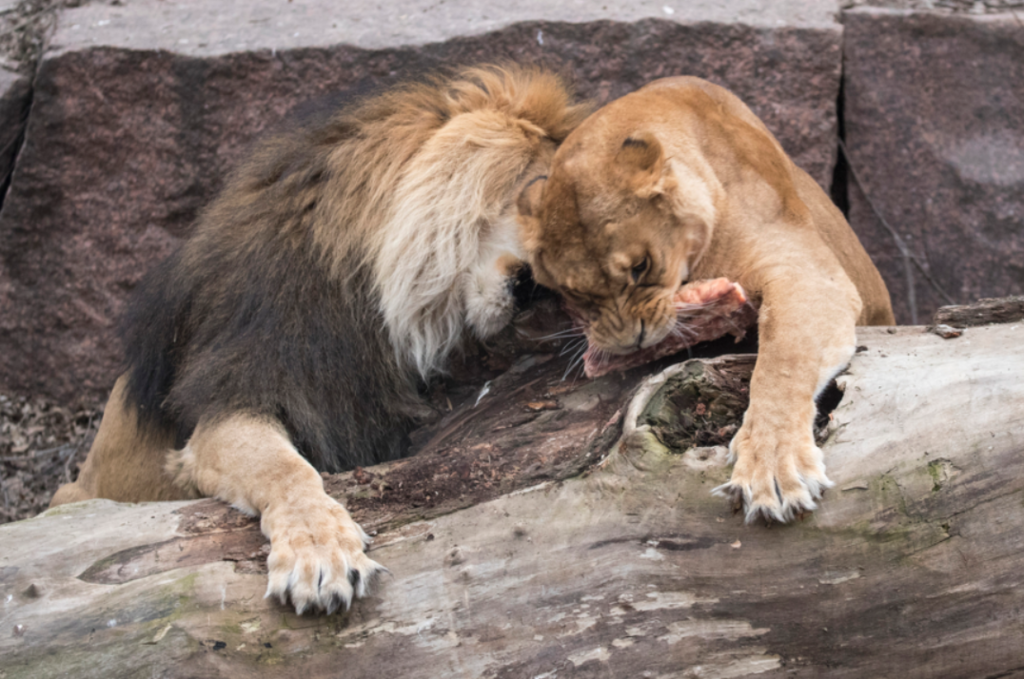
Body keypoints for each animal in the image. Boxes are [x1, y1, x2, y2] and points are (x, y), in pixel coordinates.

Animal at [516, 76, 892, 524]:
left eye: (641, 266)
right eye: (576, 293)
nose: (630, 342)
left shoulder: (808, 272)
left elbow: (781, 365)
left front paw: (772, 465)